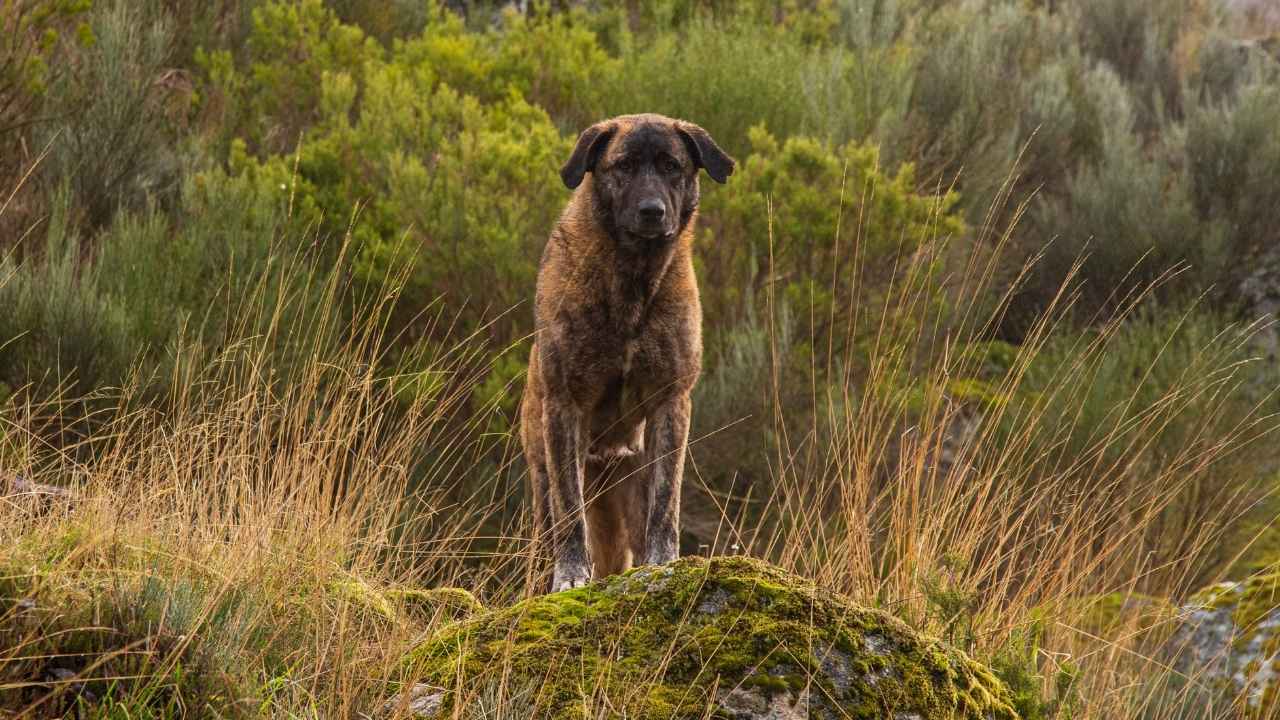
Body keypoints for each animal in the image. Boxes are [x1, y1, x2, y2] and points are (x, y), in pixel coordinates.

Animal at [519, 114, 737, 591]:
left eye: (672, 166)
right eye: (623, 166)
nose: (652, 211)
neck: (632, 280)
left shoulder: (670, 403)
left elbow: (666, 503)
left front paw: (664, 562)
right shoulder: (565, 407)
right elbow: (570, 512)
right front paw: (572, 574)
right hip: (542, 482)